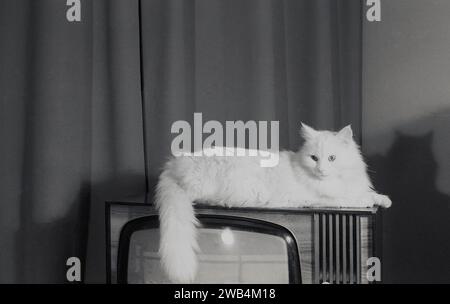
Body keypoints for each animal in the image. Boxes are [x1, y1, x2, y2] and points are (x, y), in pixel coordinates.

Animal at [155, 123, 390, 282]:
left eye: (331, 158)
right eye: (314, 158)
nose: (321, 170)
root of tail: (174, 164)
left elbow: (368, 193)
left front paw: (384, 200)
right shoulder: (323, 200)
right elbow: (353, 199)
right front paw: (372, 200)